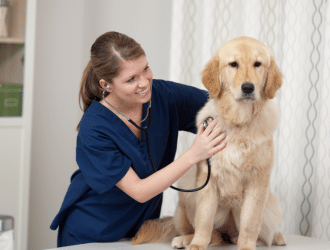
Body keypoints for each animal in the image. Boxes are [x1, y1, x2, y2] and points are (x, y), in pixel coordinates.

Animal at [131, 35, 286, 250]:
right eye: (233, 64)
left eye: (258, 64)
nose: (248, 87)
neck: (238, 122)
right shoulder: (207, 180)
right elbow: (204, 221)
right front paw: (197, 244)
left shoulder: (257, 182)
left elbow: (250, 224)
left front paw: (246, 247)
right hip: (185, 195)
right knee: (206, 231)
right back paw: (185, 239)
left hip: (271, 207)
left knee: (263, 235)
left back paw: (276, 237)